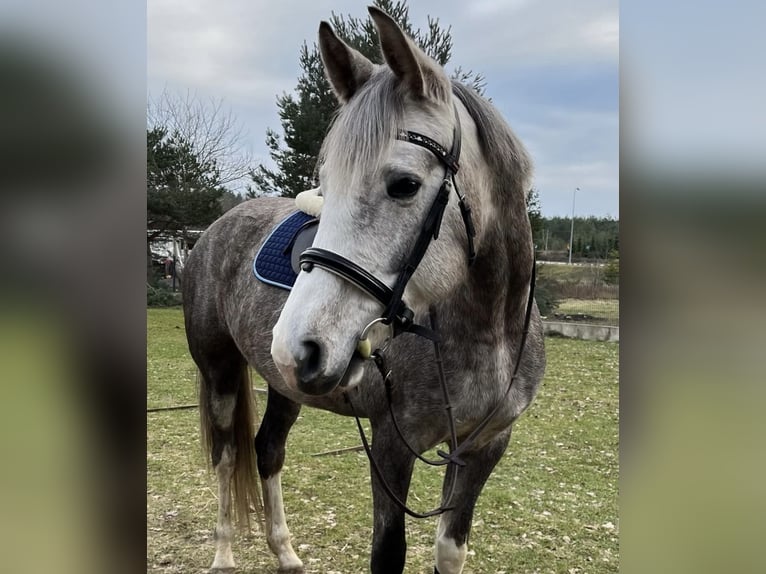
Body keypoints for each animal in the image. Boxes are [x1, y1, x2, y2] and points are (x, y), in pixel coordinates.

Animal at [182, 5, 544, 574]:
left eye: (404, 185)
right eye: (327, 186)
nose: (296, 346)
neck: (487, 334)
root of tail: (215, 229)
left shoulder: (484, 447)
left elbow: (450, 549)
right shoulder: (392, 445)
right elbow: (387, 554)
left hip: (285, 384)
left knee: (267, 451)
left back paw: (285, 552)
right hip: (219, 371)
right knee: (226, 456)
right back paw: (223, 554)